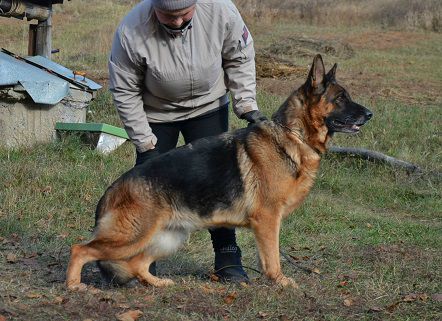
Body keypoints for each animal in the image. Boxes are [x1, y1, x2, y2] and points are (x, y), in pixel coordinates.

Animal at [66, 55, 372, 290]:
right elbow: (272, 258)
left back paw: (157, 283)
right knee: (80, 248)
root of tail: (114, 189)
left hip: (167, 237)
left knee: (138, 264)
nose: (369, 114)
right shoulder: (267, 220)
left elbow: (268, 257)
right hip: (132, 237)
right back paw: (74, 286)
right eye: (341, 98)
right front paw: (281, 282)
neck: (293, 135)